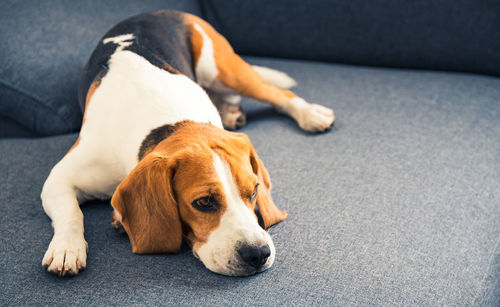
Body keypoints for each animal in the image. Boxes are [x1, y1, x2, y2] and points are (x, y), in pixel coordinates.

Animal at [41, 10, 334, 278]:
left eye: (254, 192)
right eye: (203, 202)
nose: (258, 253)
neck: (172, 121)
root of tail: (156, 11)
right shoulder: (58, 179)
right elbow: (71, 213)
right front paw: (66, 248)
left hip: (221, 68)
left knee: (278, 93)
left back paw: (310, 114)